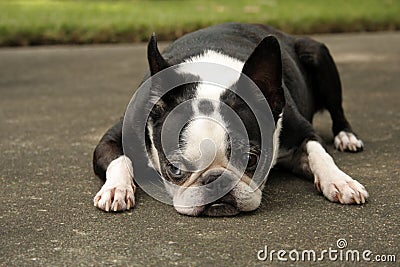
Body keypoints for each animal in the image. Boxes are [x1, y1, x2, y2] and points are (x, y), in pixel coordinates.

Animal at [92, 22, 368, 217]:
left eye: (252, 159)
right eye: (174, 169)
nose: (215, 180)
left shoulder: (301, 131)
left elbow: (318, 153)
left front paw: (340, 181)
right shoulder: (114, 136)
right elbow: (119, 159)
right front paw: (116, 189)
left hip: (317, 54)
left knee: (337, 111)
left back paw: (346, 136)